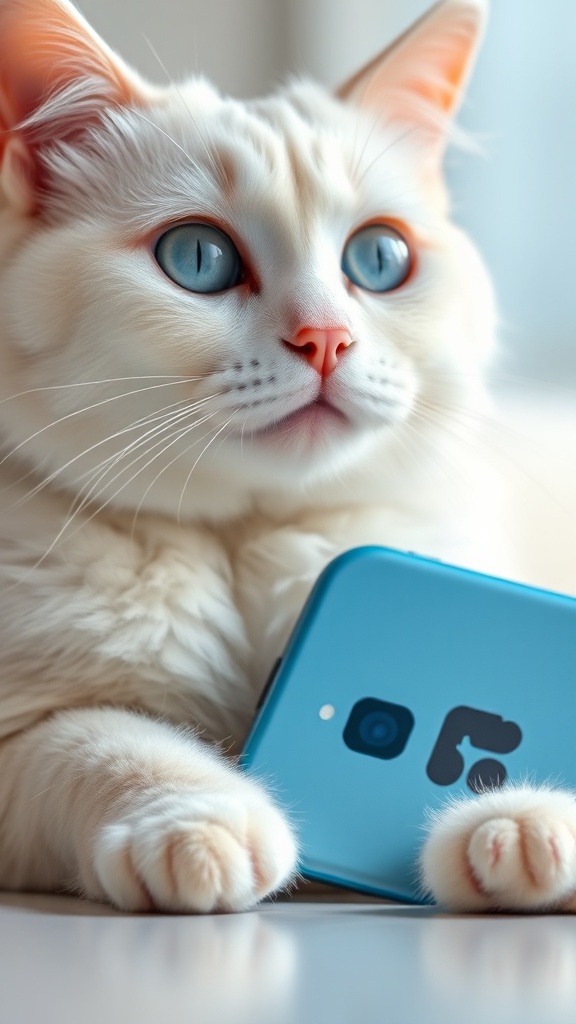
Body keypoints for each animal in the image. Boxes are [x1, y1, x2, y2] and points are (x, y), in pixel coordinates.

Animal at [1, 0, 569, 913]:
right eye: (197, 258)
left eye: (379, 258)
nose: (326, 339)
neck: (246, 541)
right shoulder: (21, 735)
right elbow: (101, 740)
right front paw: (199, 822)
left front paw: (523, 819)